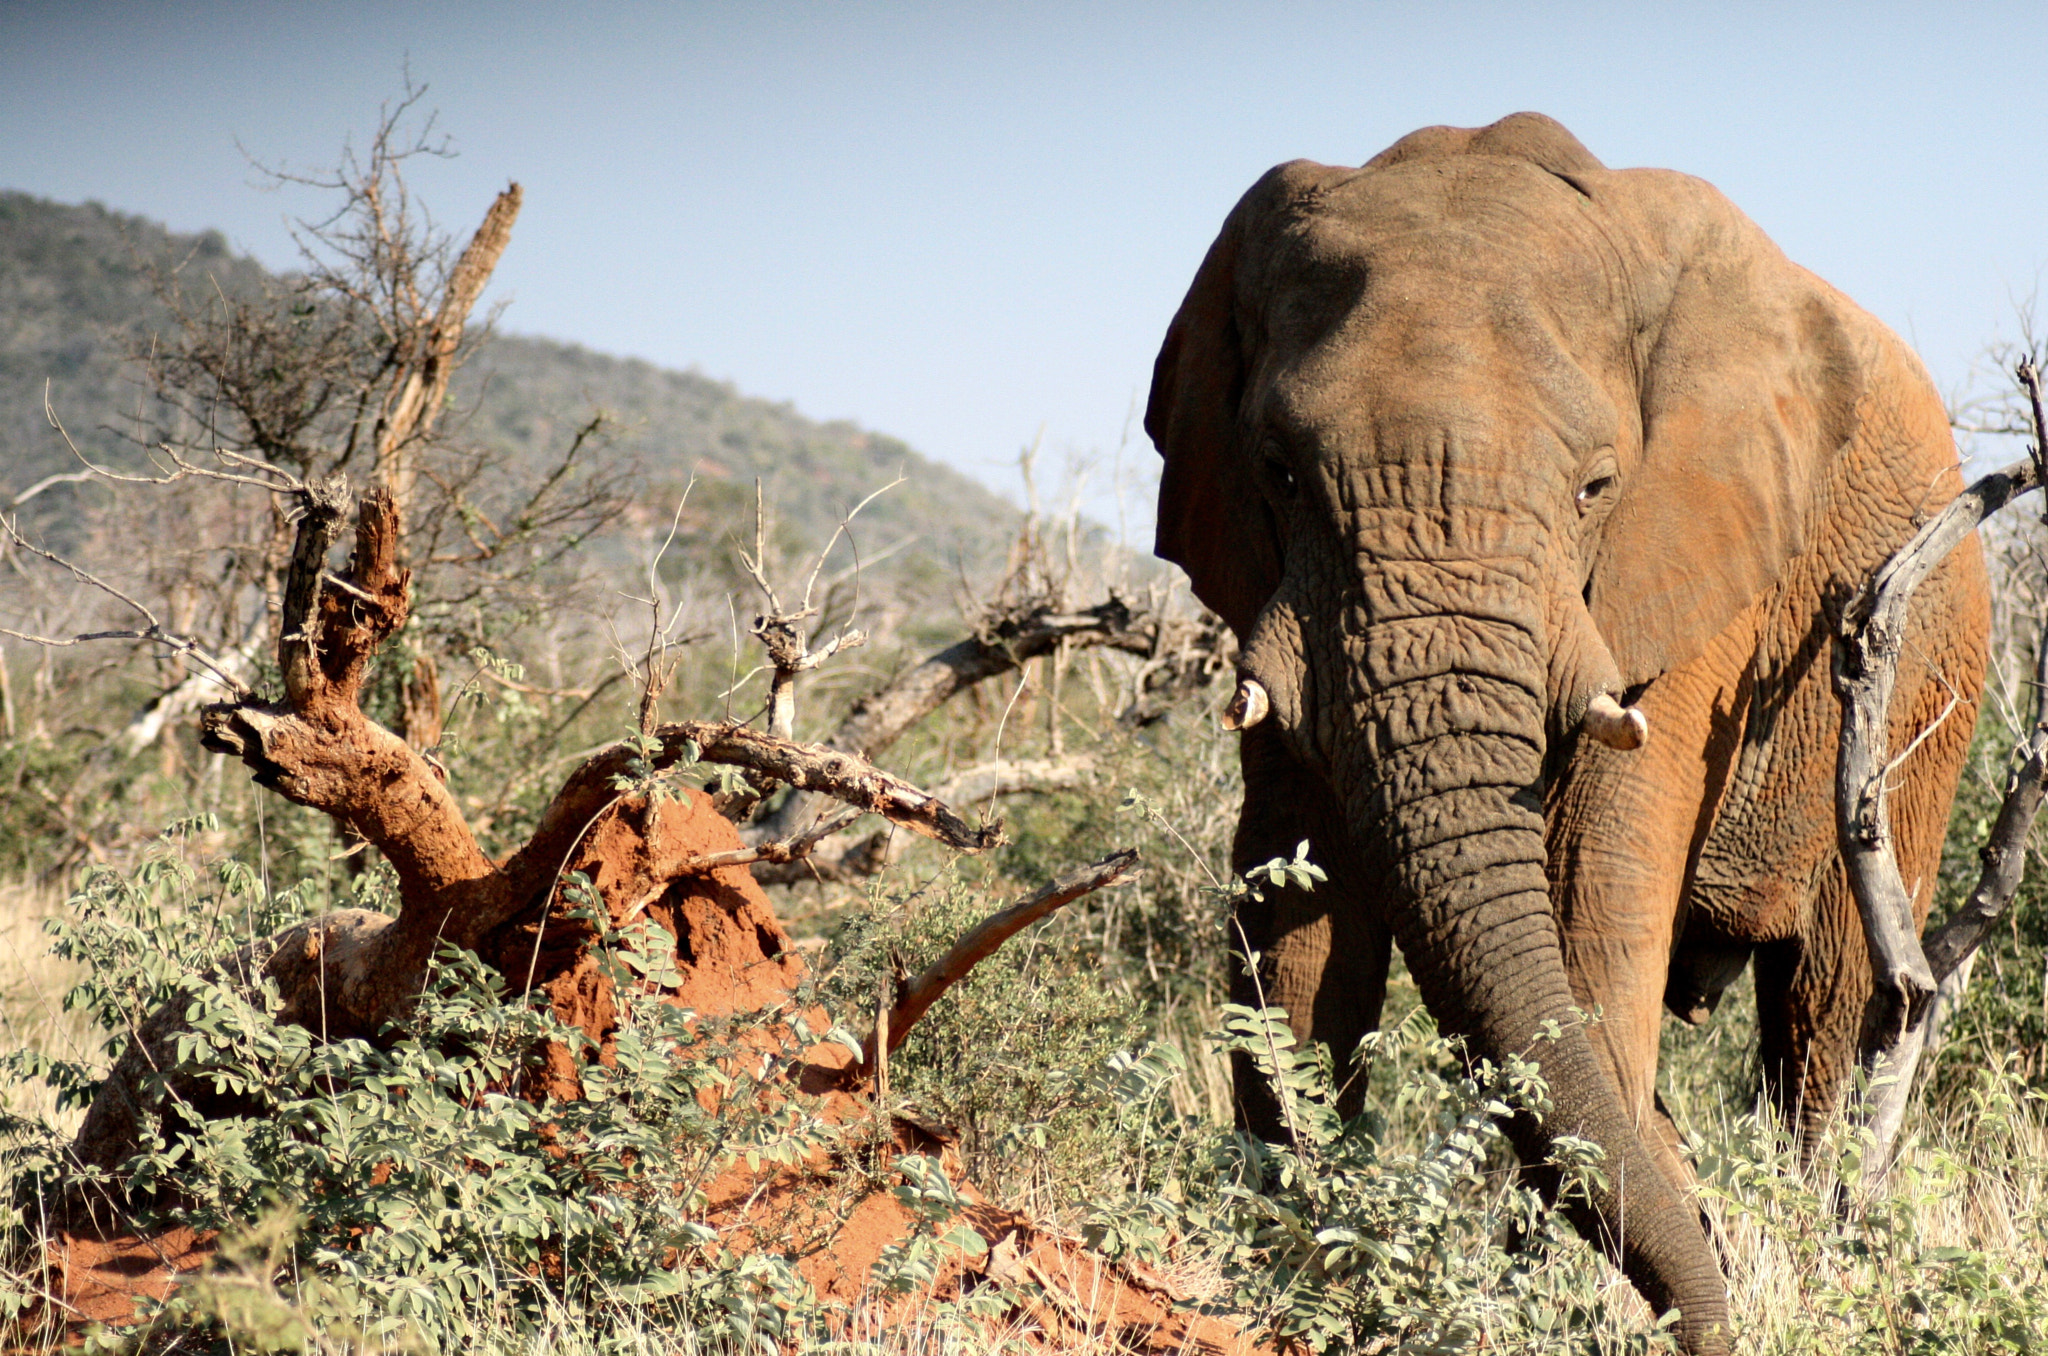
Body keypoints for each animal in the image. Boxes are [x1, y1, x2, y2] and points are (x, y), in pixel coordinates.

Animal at [1145, 113, 1988, 1353]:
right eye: (1279, 473)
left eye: (1596, 487)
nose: (1709, 1328)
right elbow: (1291, 926)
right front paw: (1291, 1273)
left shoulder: (1688, 573)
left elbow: (1591, 909)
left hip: (1928, 662)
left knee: (1827, 1006)